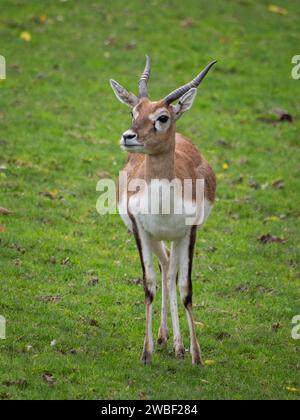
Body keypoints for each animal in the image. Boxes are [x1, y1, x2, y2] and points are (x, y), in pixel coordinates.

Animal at [109, 55, 216, 364]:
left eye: (162, 117)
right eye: (134, 111)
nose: (128, 136)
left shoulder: (190, 232)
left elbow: (186, 288)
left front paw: (196, 356)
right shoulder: (141, 231)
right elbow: (149, 286)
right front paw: (146, 353)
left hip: (175, 239)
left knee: (171, 274)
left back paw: (177, 345)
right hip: (157, 238)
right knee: (166, 267)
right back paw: (163, 337)